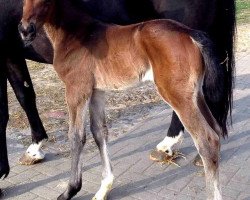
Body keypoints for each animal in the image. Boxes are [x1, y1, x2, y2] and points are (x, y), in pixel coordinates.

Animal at [0, 0, 234, 193]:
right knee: (215, 130)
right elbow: (99, 132)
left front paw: (70, 190)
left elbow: (76, 136)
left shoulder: (76, 89)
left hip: (177, 94)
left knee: (206, 140)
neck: (78, 34)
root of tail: (192, 34)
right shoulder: (96, 91)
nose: (25, 30)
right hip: (195, 95)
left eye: (46, 0)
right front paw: (104, 188)